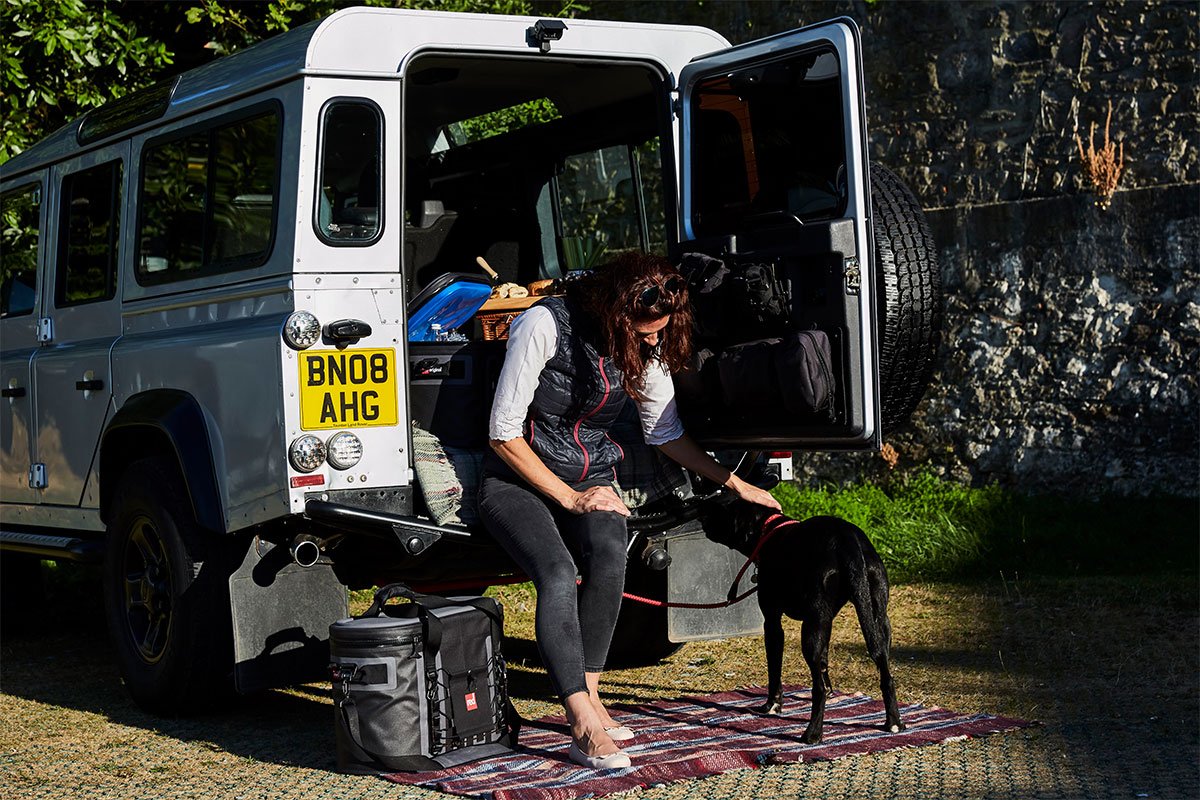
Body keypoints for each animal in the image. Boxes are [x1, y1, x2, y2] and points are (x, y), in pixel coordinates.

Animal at [700, 501, 902, 743]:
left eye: (722, 508)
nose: (700, 511)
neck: (768, 530)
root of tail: (847, 540)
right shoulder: (826, 622)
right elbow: (825, 663)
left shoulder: (773, 623)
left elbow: (774, 670)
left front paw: (772, 705)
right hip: (879, 621)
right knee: (887, 675)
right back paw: (893, 723)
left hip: (810, 631)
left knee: (818, 688)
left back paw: (812, 733)